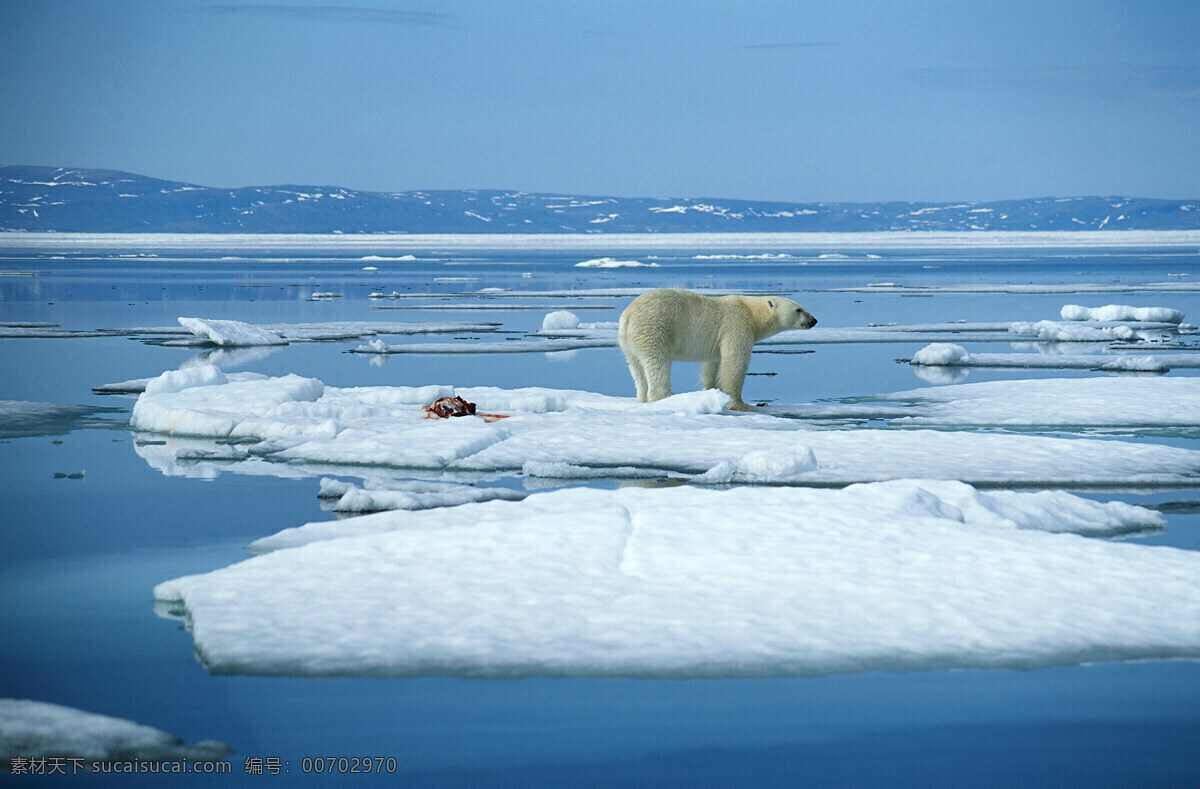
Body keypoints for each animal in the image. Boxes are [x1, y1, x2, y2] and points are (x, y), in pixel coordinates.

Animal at [619, 288, 816, 412]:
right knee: (657, 362)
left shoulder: (718, 341)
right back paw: (666, 396)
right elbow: (734, 362)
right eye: (799, 309)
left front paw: (712, 393)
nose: (814, 320)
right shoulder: (737, 324)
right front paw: (740, 405)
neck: (751, 312)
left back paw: (642, 397)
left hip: (629, 343)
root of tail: (627, 316)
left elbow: (713, 366)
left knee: (636, 368)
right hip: (655, 328)